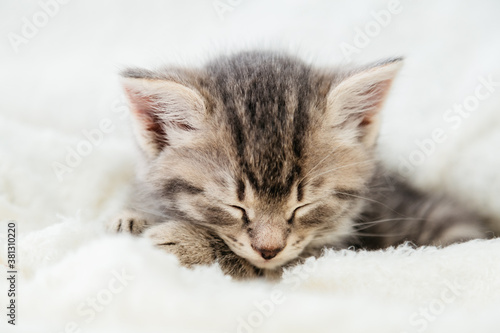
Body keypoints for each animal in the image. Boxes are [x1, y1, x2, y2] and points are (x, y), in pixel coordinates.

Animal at [109, 51, 488, 278]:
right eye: (233, 206)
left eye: (304, 206)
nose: (269, 249)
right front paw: (131, 219)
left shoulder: (324, 256)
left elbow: (263, 268)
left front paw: (184, 243)